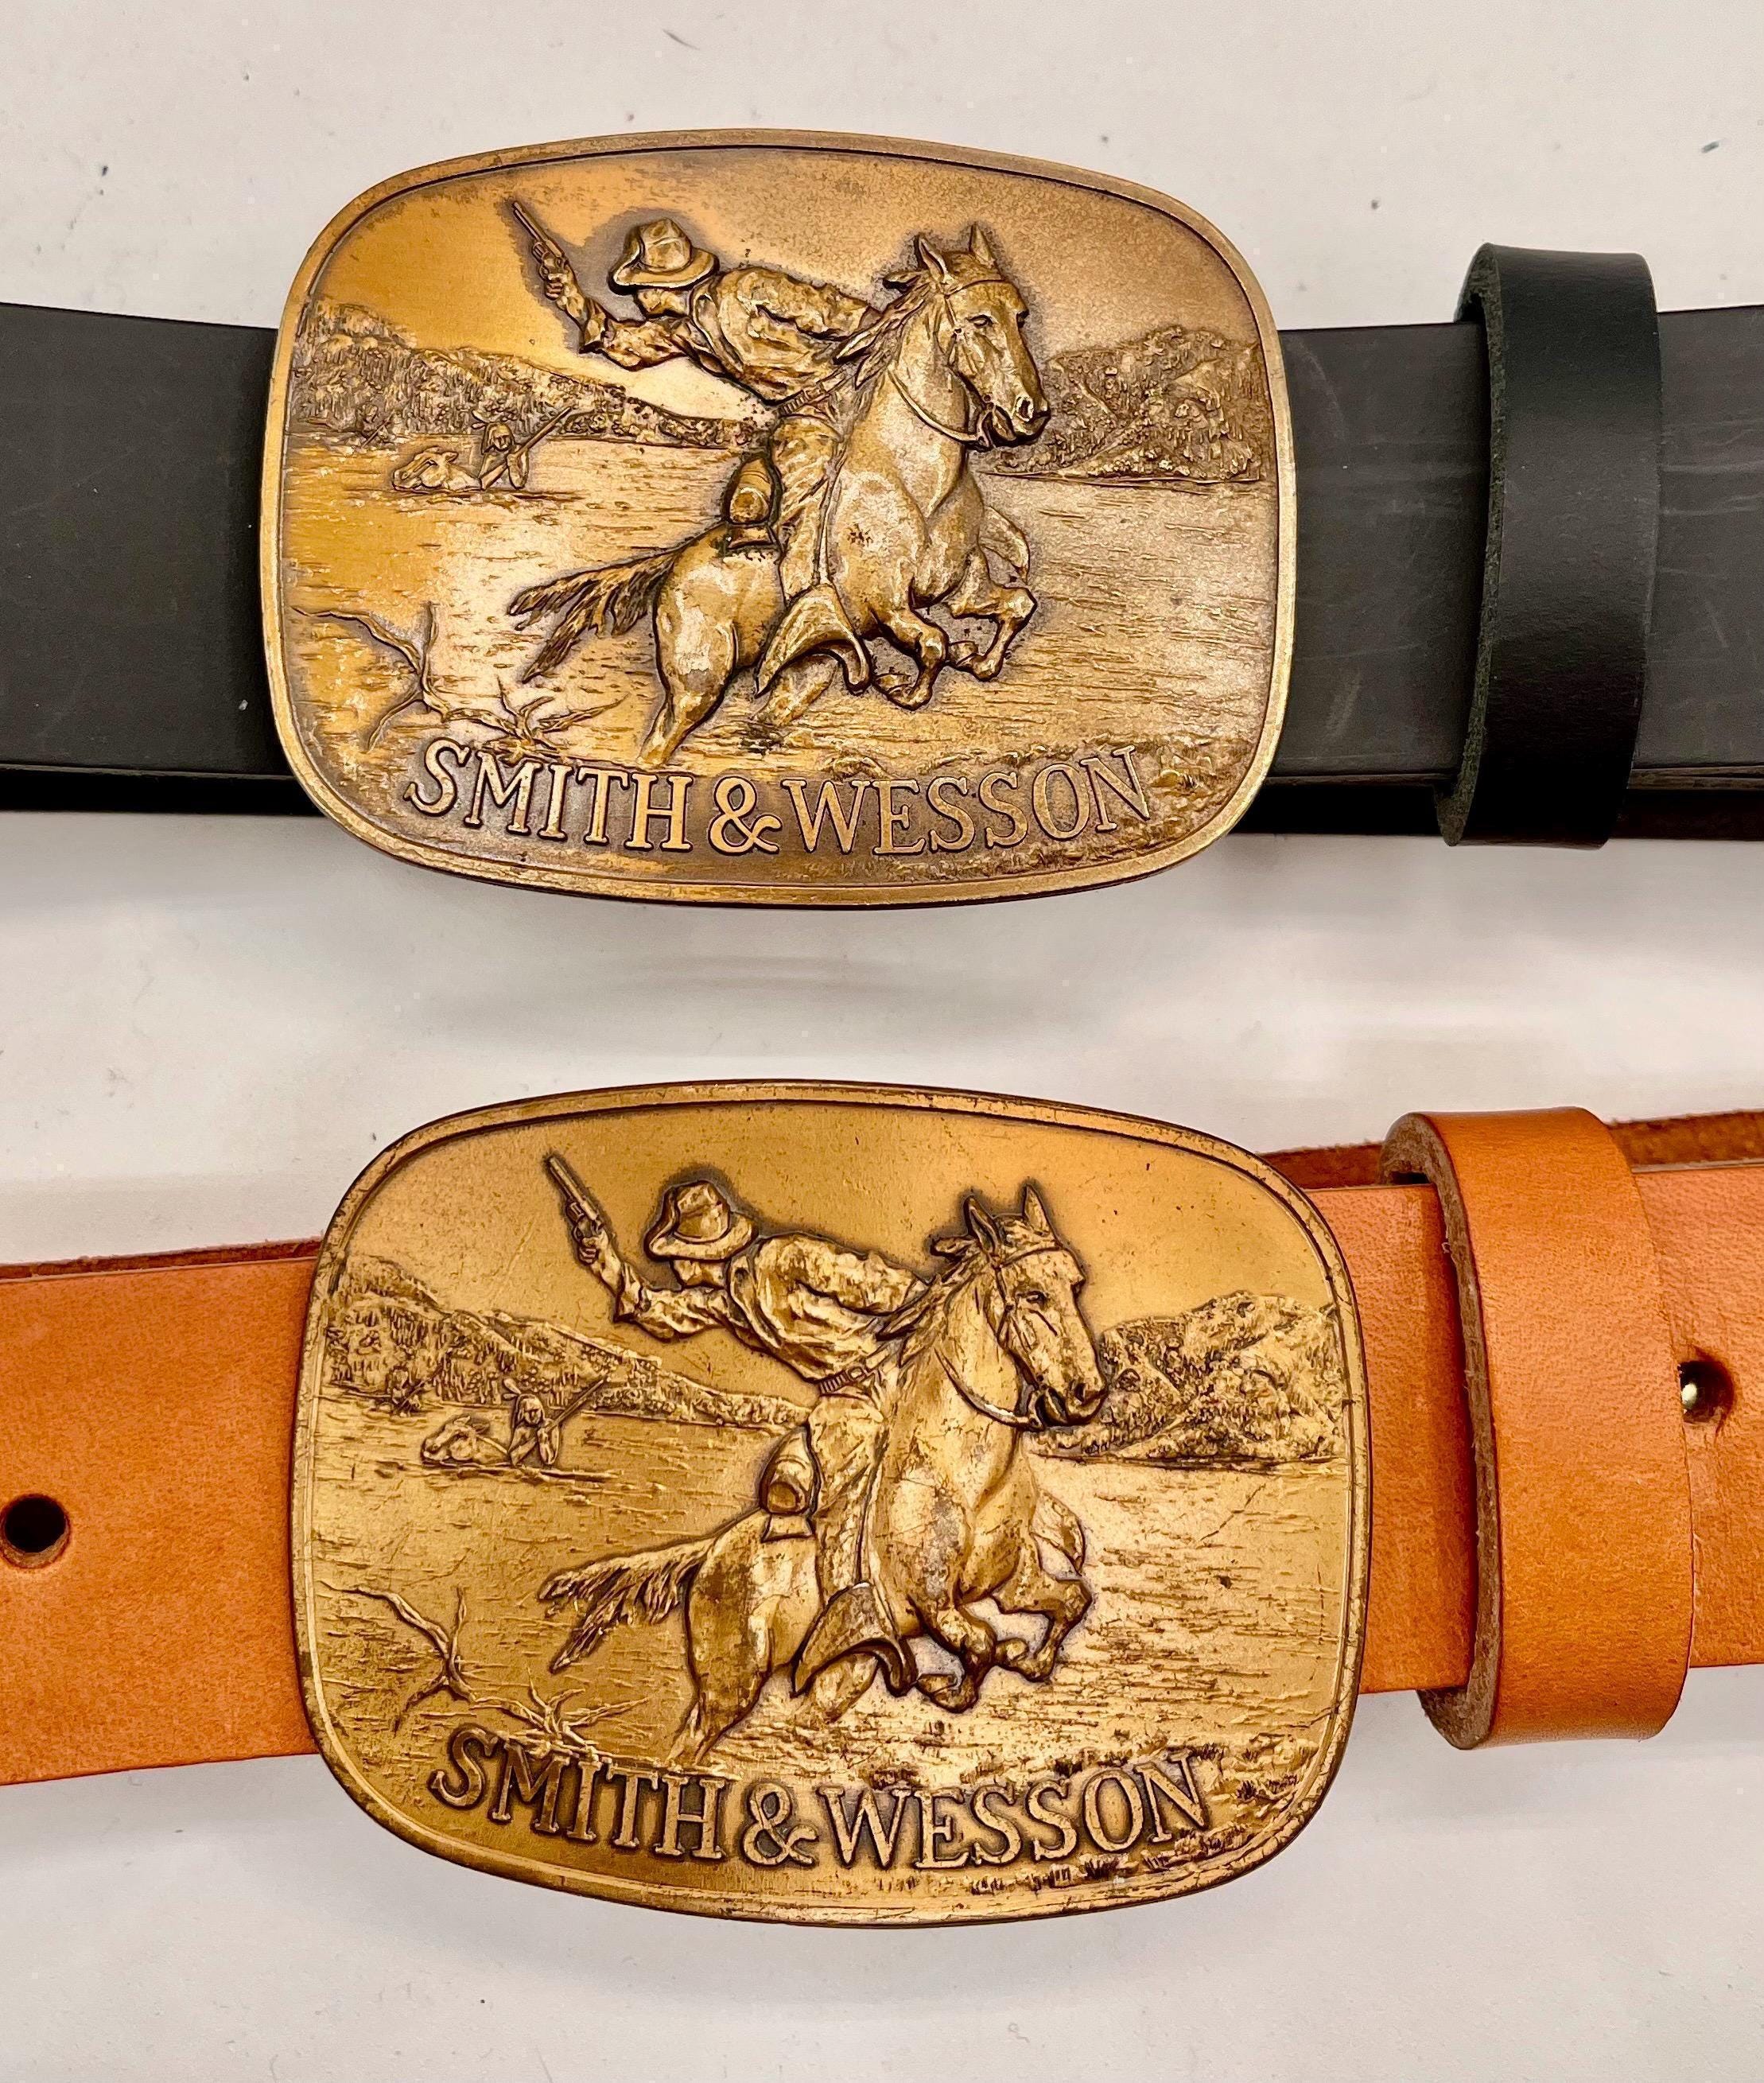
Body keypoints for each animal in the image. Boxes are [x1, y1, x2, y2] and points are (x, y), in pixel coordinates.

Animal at [507, 228, 1049, 769]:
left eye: (1020, 315)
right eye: (980, 319)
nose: (1032, 412)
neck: (912, 480)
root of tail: (671, 568)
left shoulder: (963, 591)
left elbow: (1017, 604)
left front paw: (978, 661)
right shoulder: (886, 606)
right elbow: (934, 642)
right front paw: (905, 685)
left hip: (799, 676)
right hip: (697, 680)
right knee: (662, 738)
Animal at [537, 1187, 1106, 1765]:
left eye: (1074, 1283)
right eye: (1033, 1294)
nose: (1086, 1394)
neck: (963, 1478)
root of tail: (711, 1553)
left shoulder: (1016, 1582)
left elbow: (1072, 1601)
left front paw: (1026, 1661)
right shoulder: (935, 1605)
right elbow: (983, 1644)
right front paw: (952, 1680)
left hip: (835, 1677)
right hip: (731, 1685)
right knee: (688, 1744)